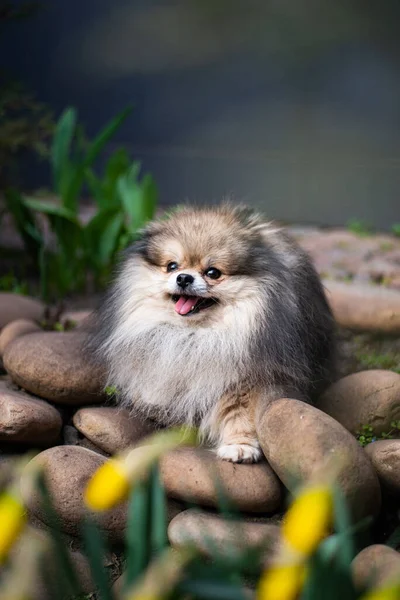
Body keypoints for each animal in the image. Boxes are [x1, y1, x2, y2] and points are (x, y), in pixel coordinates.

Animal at [86, 204, 334, 462]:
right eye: (172, 266)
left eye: (213, 272)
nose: (183, 277)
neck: (195, 336)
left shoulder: (248, 378)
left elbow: (241, 412)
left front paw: (239, 446)